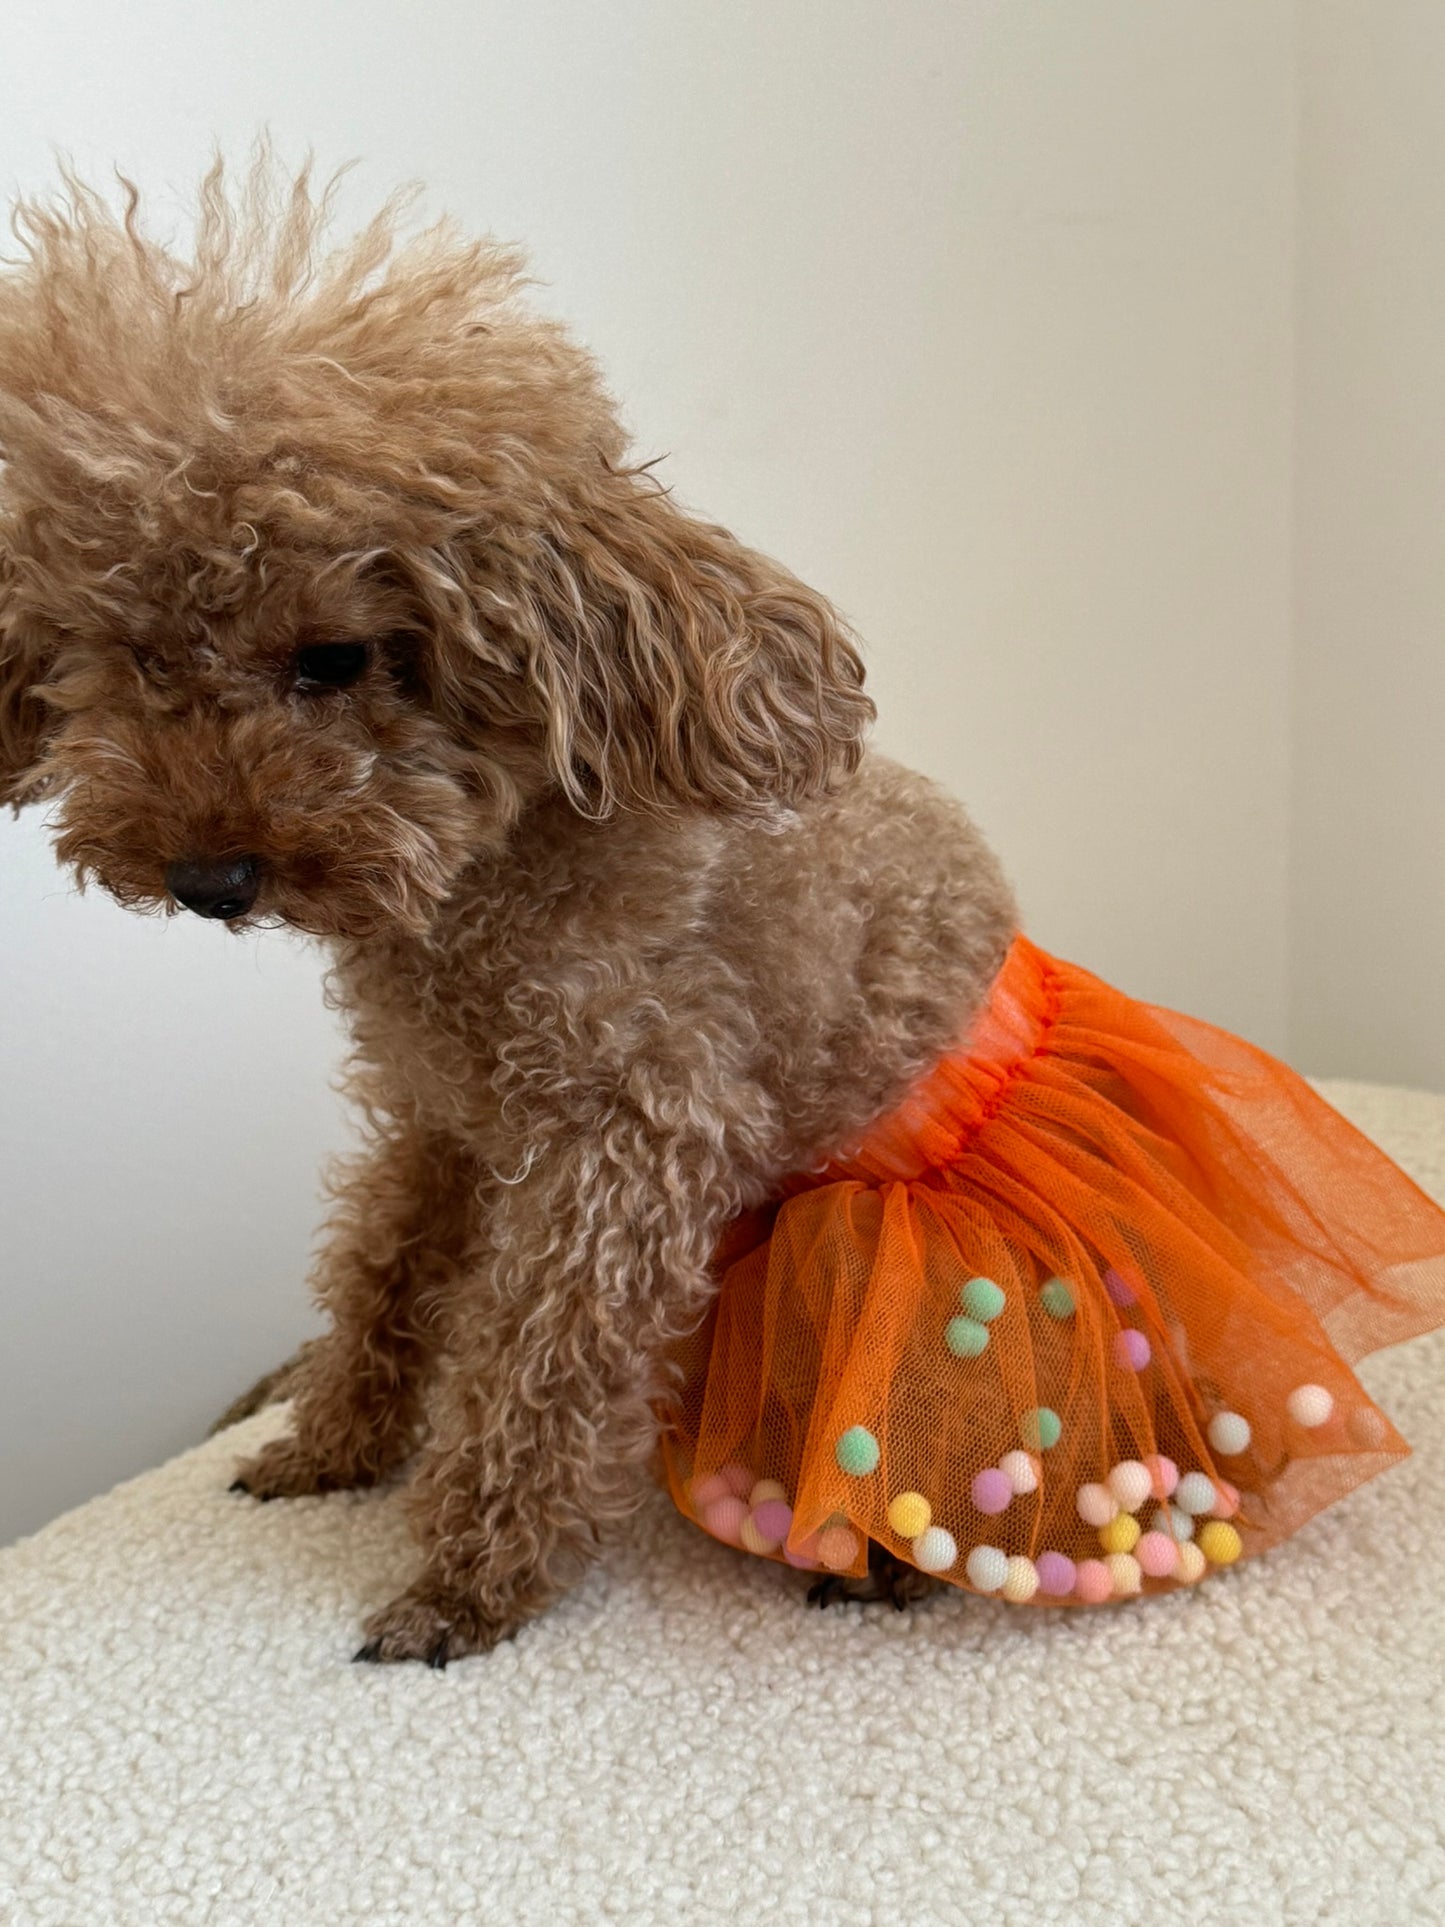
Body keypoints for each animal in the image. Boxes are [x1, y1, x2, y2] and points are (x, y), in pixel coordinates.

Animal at [0, 161, 1017, 1657]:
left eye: (335, 659)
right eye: (125, 652)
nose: (207, 879)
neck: (474, 891)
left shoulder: (630, 1140)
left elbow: (541, 1364)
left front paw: (465, 1582)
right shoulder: (442, 1116)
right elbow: (381, 1266)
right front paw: (329, 1441)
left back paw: (895, 1549)